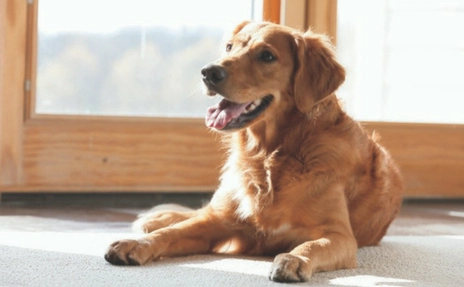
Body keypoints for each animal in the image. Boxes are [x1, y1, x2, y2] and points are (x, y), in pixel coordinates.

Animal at [105, 22, 402, 284]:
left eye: (267, 56)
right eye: (229, 47)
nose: (208, 72)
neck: (270, 155)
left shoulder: (340, 236)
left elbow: (311, 246)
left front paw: (293, 260)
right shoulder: (218, 223)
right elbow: (171, 233)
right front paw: (136, 244)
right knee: (197, 212)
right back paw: (157, 217)